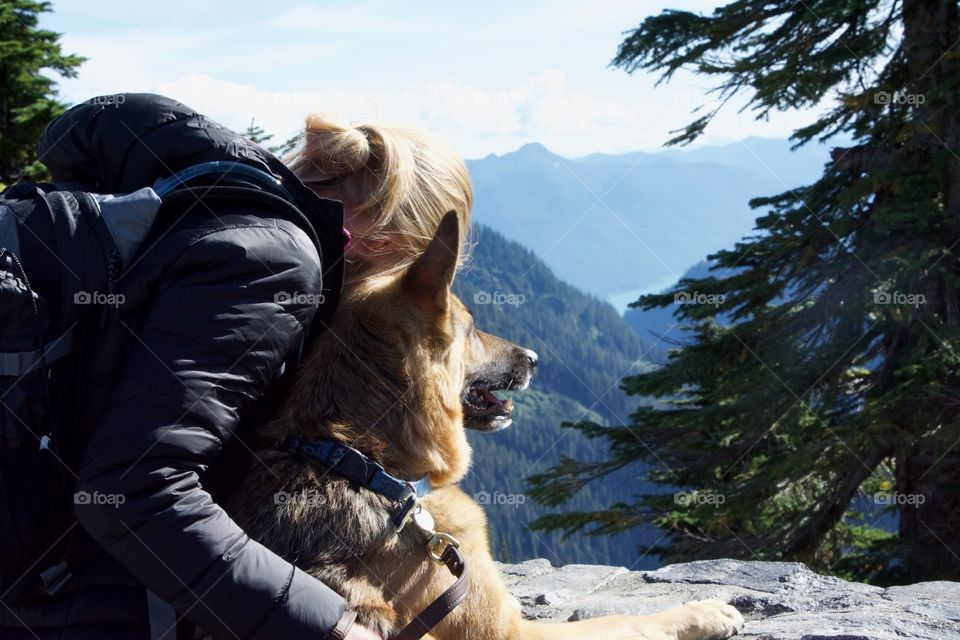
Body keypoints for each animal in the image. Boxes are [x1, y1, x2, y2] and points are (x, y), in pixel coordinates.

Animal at [221, 215, 748, 640]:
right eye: (472, 327)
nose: (535, 358)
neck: (363, 462)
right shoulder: (513, 634)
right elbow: (624, 620)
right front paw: (702, 612)